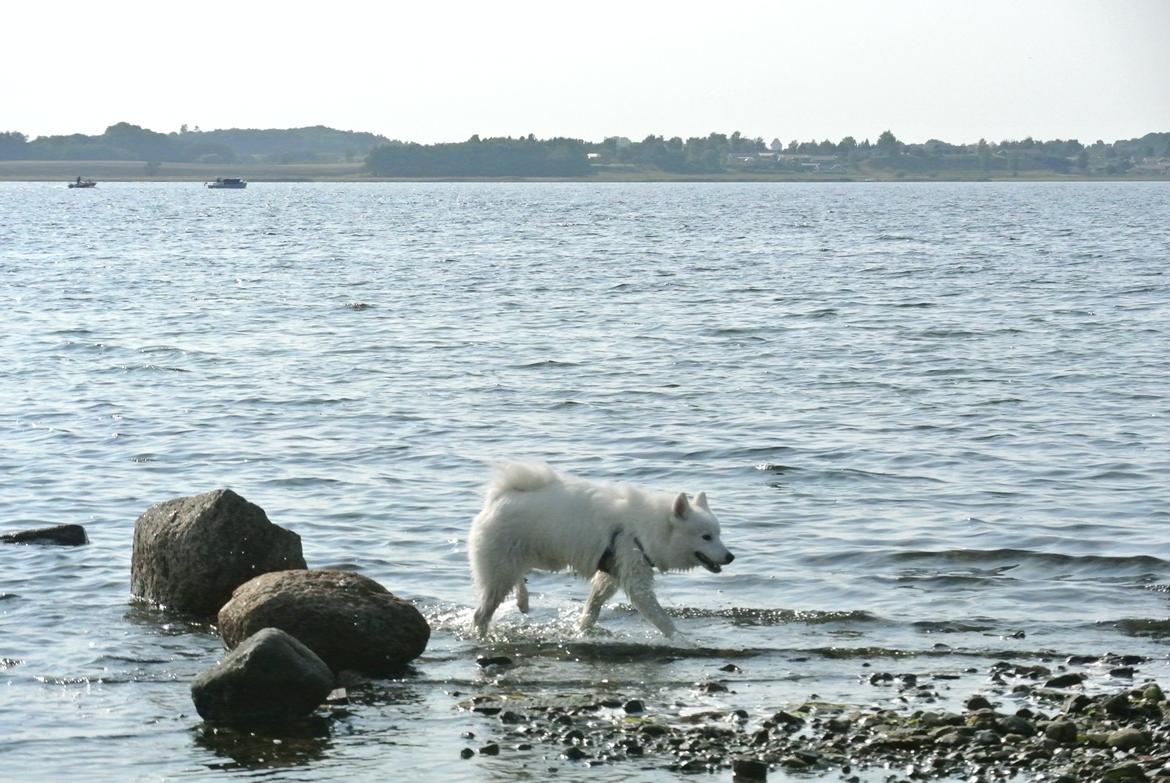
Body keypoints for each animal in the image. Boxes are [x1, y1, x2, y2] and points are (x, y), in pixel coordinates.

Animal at [465, 461, 730, 636]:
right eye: (706, 537)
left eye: (718, 535)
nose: (731, 556)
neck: (645, 528)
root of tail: (497, 499)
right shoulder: (635, 575)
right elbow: (661, 618)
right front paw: (682, 641)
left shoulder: (611, 573)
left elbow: (592, 607)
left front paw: (583, 630)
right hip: (501, 569)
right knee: (481, 613)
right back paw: (483, 636)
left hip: (517, 561)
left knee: (517, 579)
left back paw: (523, 600)